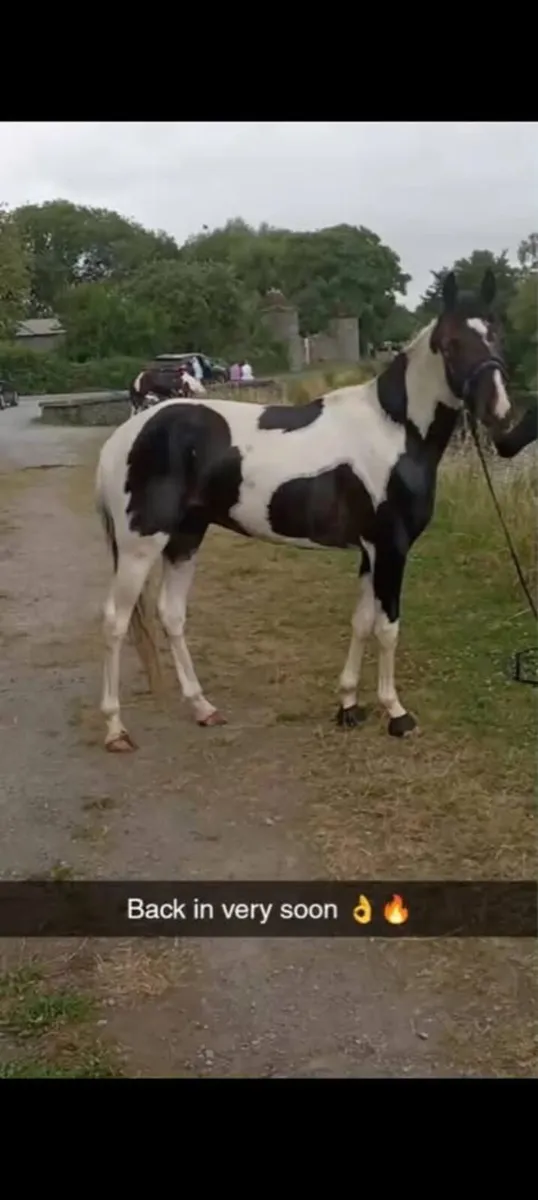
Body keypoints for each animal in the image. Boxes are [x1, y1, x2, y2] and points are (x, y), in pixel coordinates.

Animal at [95, 268, 522, 753]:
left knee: (171, 614)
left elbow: (361, 622)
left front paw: (349, 705)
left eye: (496, 334)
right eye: (450, 343)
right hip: (140, 545)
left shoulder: (370, 551)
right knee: (115, 622)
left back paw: (203, 708)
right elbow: (388, 627)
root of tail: (123, 437)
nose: (499, 412)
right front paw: (396, 713)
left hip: (185, 538)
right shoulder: (391, 548)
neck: (395, 429)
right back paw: (115, 729)